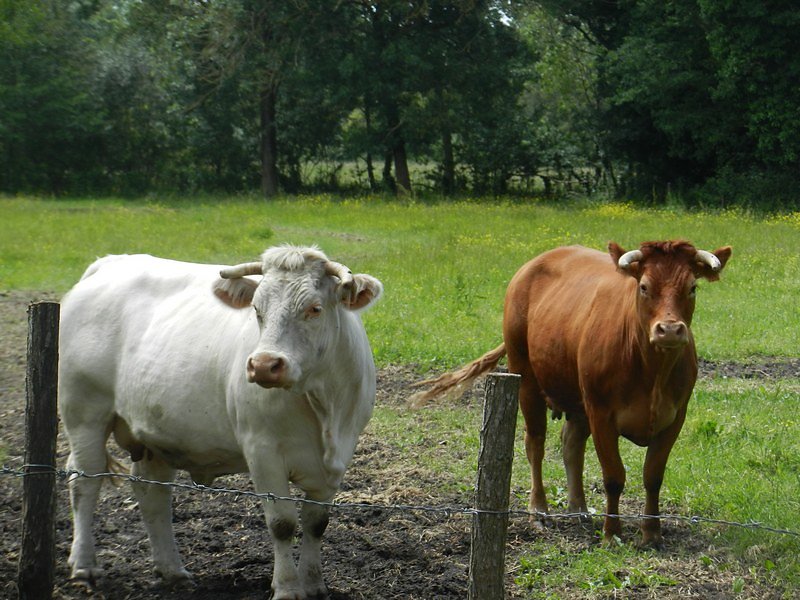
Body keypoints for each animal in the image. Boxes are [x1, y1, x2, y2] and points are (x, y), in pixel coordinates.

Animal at [58, 245, 383, 599]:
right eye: (256, 309)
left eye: (315, 308)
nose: (264, 364)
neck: (323, 404)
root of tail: (109, 263)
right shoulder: (262, 451)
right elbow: (282, 524)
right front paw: (287, 588)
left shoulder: (339, 457)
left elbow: (316, 523)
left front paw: (314, 585)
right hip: (85, 412)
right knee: (84, 481)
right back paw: (84, 565)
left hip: (155, 432)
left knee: (151, 492)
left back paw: (172, 570)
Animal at [412, 240, 731, 547]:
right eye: (644, 286)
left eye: (692, 287)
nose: (670, 330)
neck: (652, 372)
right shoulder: (601, 413)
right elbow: (613, 476)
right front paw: (611, 534)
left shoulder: (674, 417)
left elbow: (653, 476)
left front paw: (651, 533)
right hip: (525, 378)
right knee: (535, 443)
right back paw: (539, 510)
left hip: (578, 399)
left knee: (571, 444)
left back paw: (579, 508)